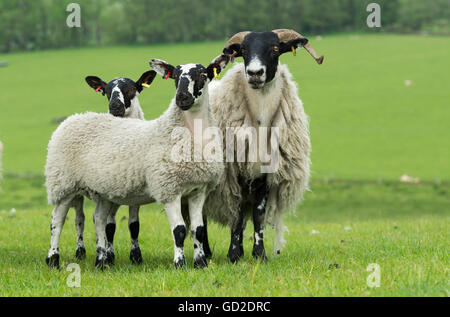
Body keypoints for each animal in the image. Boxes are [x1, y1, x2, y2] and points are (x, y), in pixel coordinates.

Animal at [66, 71, 157, 264]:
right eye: (106, 91)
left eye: (131, 89)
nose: (115, 106)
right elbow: (109, 226)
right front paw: (108, 256)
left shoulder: (134, 197)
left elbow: (134, 225)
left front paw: (136, 256)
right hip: (75, 190)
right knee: (80, 219)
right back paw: (80, 251)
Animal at [203, 29, 324, 262]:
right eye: (243, 50)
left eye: (275, 48)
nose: (254, 73)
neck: (259, 121)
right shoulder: (234, 174)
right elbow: (237, 214)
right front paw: (234, 254)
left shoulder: (265, 175)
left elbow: (258, 214)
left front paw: (259, 254)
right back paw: (205, 252)